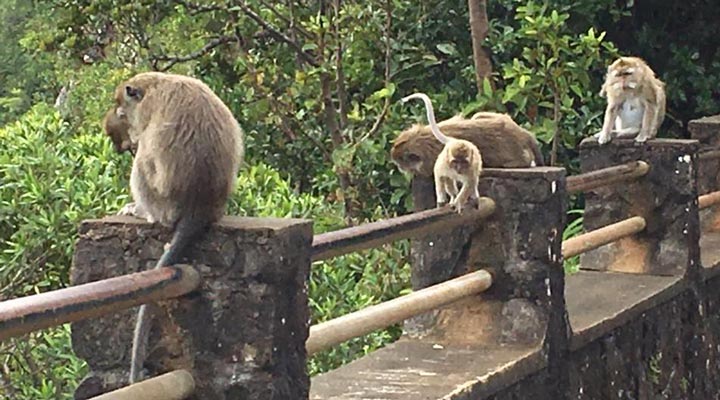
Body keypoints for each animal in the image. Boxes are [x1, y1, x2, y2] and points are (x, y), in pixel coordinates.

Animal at [103, 70, 245, 382]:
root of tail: (199, 207)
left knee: (144, 160)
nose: (119, 118)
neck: (154, 84)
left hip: (161, 202)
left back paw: (140, 210)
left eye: (121, 107)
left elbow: (144, 148)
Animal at [390, 103, 544, 178]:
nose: (399, 167)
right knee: (477, 115)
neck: (421, 138)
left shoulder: (430, 163)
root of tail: (523, 133)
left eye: (401, 161)